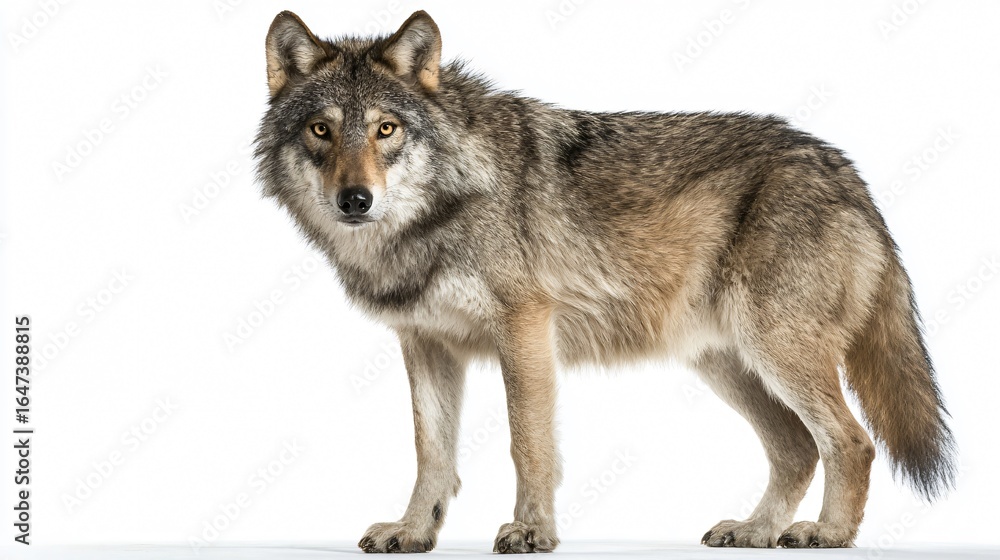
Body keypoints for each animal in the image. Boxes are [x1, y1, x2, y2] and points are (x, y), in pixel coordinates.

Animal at [254, 10, 956, 553]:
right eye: (321, 130)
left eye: (385, 129)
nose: (355, 200)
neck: (439, 210)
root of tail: (847, 171)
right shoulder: (425, 344)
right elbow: (433, 454)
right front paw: (413, 532)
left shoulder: (525, 329)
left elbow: (528, 443)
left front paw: (532, 533)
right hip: (727, 363)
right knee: (797, 449)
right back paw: (757, 531)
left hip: (775, 352)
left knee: (852, 442)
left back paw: (826, 535)